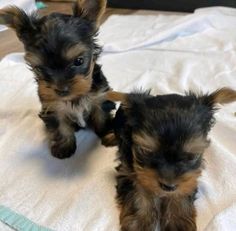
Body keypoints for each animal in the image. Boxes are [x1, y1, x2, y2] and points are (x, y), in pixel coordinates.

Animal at [0, 0, 116, 159]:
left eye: (79, 61)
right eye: (39, 68)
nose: (62, 90)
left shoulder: (99, 97)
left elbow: (102, 117)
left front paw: (108, 134)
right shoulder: (52, 107)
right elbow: (60, 127)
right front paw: (64, 147)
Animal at [107, 88, 236, 231]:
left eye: (192, 156)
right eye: (146, 151)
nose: (168, 186)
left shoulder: (189, 178)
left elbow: (182, 190)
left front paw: (177, 220)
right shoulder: (128, 170)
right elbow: (137, 191)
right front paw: (140, 222)